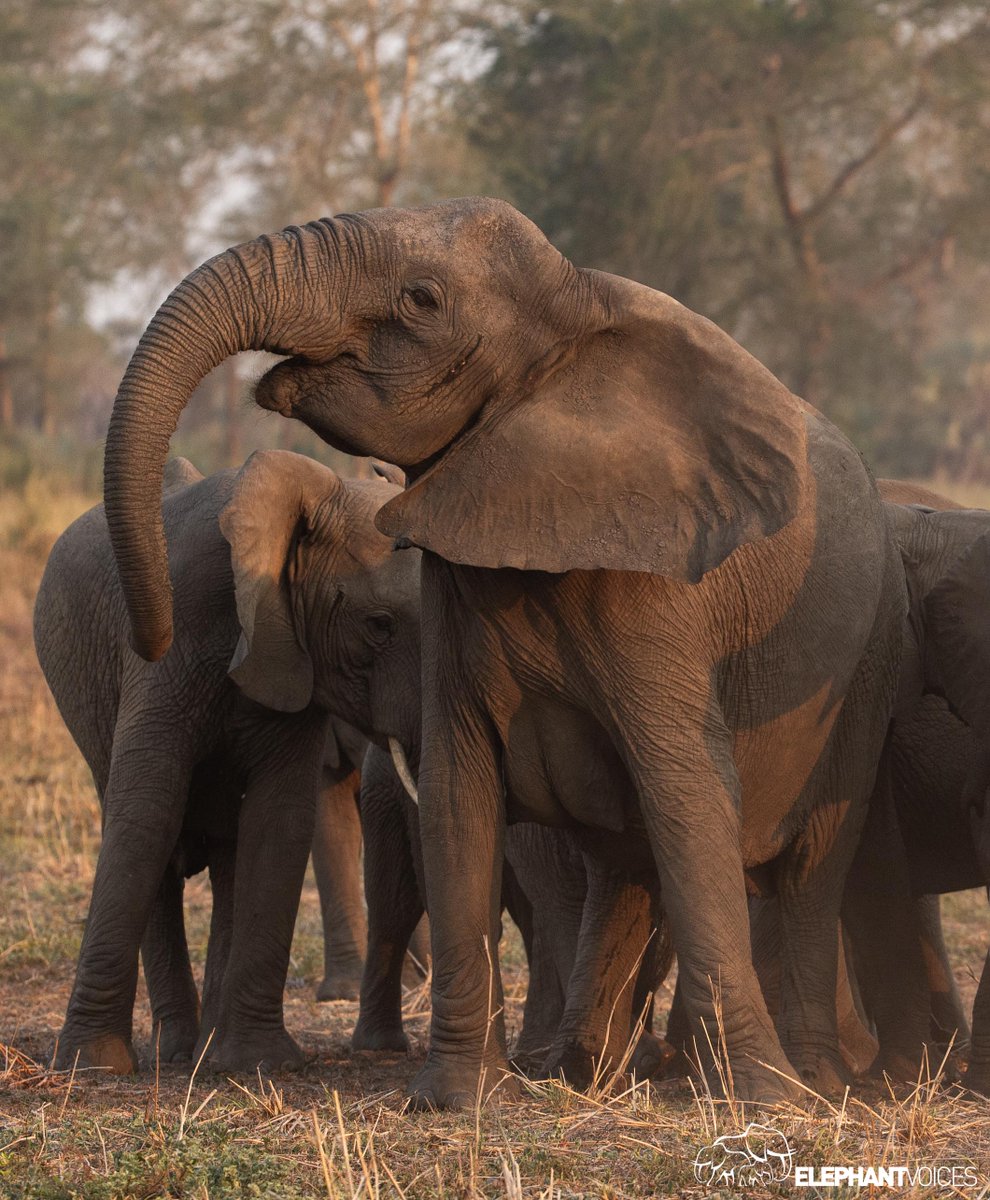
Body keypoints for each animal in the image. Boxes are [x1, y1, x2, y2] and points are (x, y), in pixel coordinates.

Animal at [33, 450, 422, 1074]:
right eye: (378, 624)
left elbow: (280, 819)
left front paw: (256, 1063)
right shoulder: (177, 641)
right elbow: (147, 811)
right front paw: (89, 1066)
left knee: (229, 856)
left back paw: (206, 1051)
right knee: (149, 832)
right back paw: (175, 1053)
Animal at [99, 196, 907, 1106]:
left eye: (422, 299)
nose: (156, 633)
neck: (576, 309)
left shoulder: (660, 596)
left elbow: (688, 794)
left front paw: (764, 1101)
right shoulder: (458, 579)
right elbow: (458, 795)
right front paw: (456, 1099)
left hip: (868, 664)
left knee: (807, 868)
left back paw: (809, 1079)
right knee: (628, 869)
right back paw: (586, 1074)